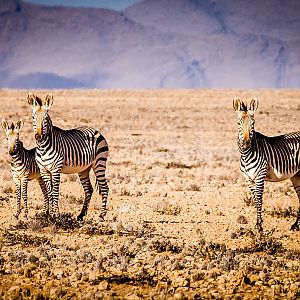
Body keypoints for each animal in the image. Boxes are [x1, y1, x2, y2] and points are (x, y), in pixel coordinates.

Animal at [27, 92, 109, 221]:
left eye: (46, 118)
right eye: (33, 118)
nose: (39, 137)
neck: (43, 147)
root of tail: (96, 130)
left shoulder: (56, 170)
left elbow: (55, 192)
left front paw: (55, 216)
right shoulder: (44, 171)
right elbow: (49, 193)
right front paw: (50, 216)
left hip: (99, 163)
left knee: (105, 188)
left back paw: (101, 215)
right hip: (84, 169)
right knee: (88, 189)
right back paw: (80, 215)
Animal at [233, 98, 300, 232]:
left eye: (253, 123)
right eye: (239, 123)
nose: (246, 143)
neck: (246, 154)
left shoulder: (260, 176)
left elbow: (259, 199)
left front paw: (259, 226)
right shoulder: (248, 179)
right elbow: (254, 200)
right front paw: (258, 224)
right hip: (296, 176)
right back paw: (295, 225)